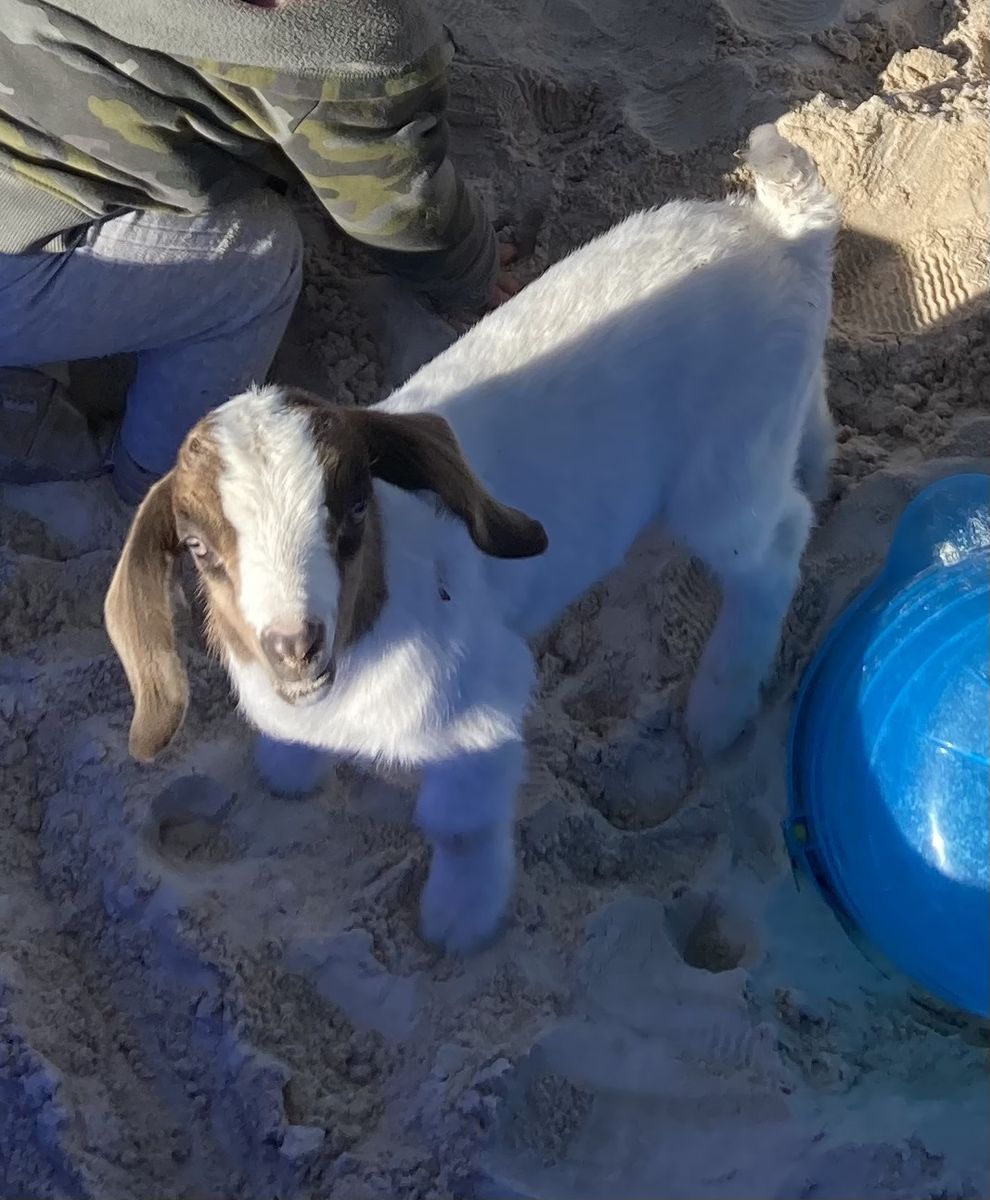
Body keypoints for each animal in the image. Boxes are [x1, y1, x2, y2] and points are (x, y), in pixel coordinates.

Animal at [104, 125, 839, 953]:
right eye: (198, 549)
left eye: (352, 510)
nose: (294, 644)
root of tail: (784, 230)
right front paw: (286, 771)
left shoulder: (480, 709)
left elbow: (459, 825)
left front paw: (459, 921)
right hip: (772, 413)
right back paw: (820, 469)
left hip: (724, 470)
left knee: (772, 553)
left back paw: (719, 710)